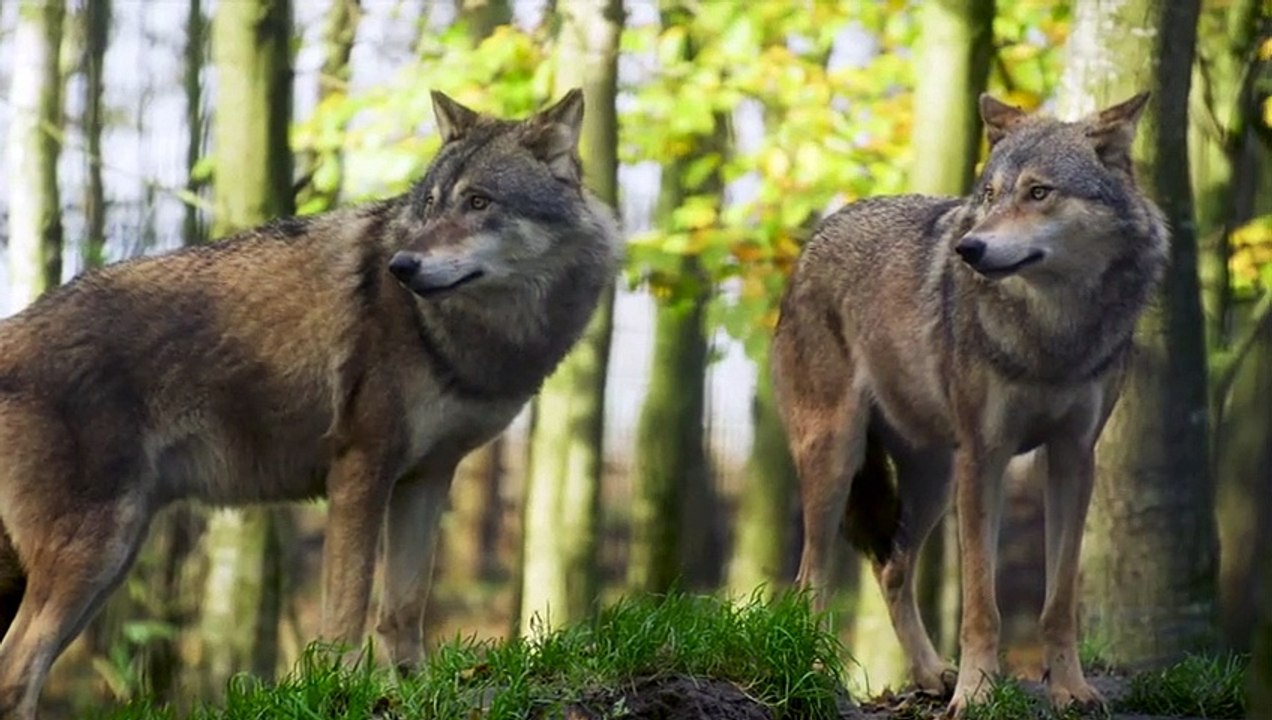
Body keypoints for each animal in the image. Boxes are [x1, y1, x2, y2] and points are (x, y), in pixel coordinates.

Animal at [0, 88, 620, 719]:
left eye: (478, 201)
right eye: (429, 205)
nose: (401, 266)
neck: (468, 336)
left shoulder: (426, 478)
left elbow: (402, 607)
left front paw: (414, 691)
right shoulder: (361, 471)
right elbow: (347, 610)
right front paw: (344, 692)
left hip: (111, 562)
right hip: (96, 554)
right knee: (16, 669)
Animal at [771, 92, 1166, 717]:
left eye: (1038, 192)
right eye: (989, 194)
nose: (968, 247)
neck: (1051, 332)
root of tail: (819, 232)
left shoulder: (1074, 457)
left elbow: (1058, 601)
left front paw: (1070, 688)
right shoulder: (986, 456)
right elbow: (983, 601)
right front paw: (977, 693)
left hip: (934, 479)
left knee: (892, 569)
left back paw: (932, 674)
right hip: (839, 462)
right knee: (810, 579)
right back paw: (812, 676)